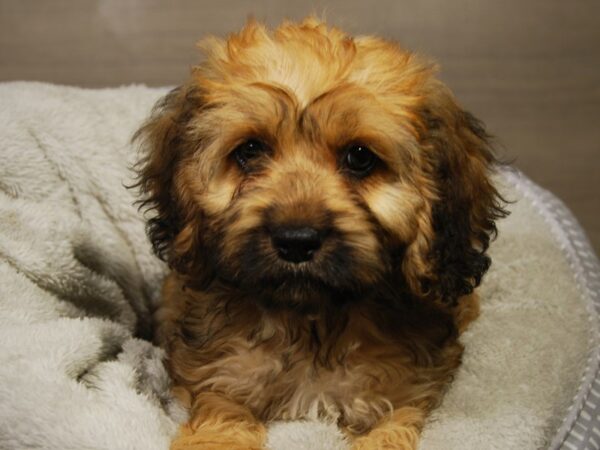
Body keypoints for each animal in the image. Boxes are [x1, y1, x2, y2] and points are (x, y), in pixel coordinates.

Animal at [135, 15, 506, 448]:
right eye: (249, 151)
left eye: (360, 157)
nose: (296, 241)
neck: (311, 324)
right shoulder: (221, 379)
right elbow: (222, 415)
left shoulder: (402, 397)